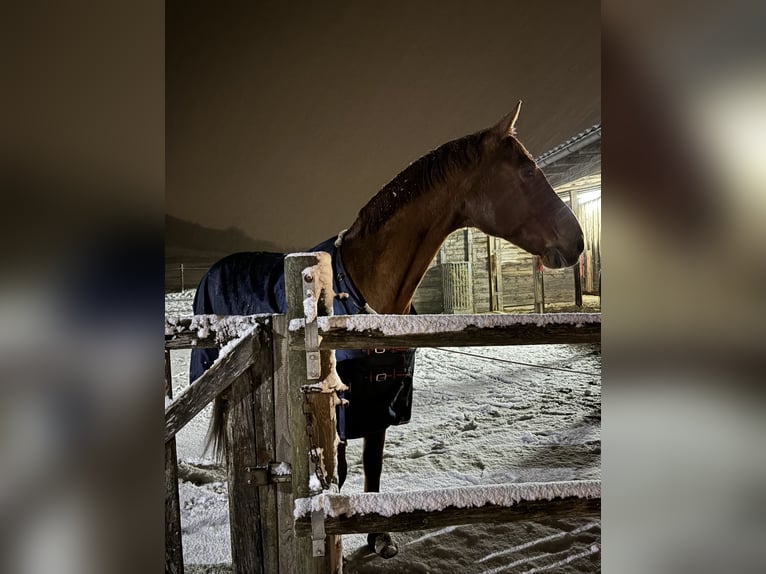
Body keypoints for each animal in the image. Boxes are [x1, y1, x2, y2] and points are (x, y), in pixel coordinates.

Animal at [189, 101, 584, 559]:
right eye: (526, 172)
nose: (577, 242)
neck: (363, 294)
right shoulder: (344, 407)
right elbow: (340, 471)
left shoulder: (380, 403)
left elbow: (373, 467)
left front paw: (379, 537)